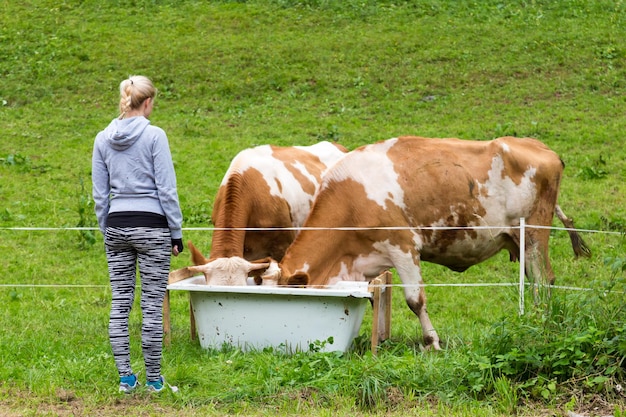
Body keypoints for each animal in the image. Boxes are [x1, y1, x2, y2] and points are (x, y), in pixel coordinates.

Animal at [260, 136, 588, 348]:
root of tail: (541, 147)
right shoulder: (368, 258)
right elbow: (378, 296)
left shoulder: (402, 246)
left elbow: (415, 300)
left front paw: (432, 342)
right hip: (521, 240)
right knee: (538, 282)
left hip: (533, 234)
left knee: (543, 281)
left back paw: (539, 323)